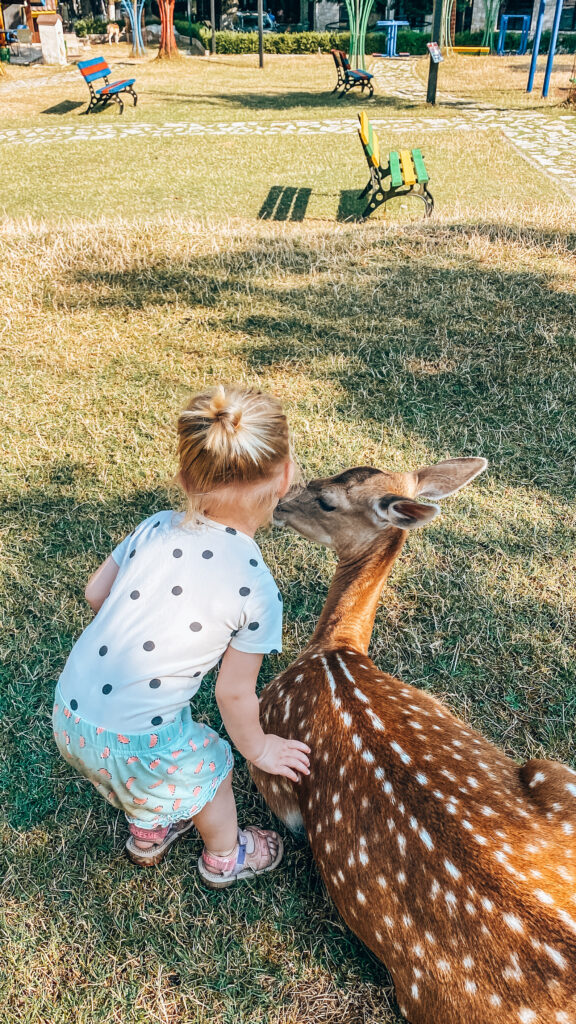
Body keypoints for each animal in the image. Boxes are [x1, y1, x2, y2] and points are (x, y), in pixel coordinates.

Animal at [250, 462, 573, 1024]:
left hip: (428, 1003)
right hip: (554, 772)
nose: (280, 507)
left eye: (328, 500)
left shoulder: (275, 747)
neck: (333, 651)